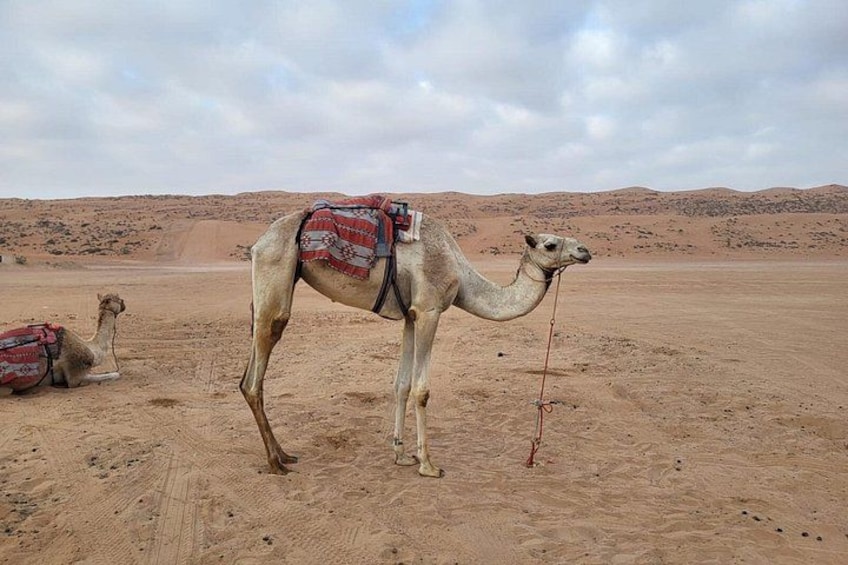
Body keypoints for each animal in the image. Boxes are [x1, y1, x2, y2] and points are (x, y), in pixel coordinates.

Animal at [241, 208, 591, 477]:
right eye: (550, 244)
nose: (585, 251)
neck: (461, 275)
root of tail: (258, 242)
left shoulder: (410, 316)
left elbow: (401, 385)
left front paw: (401, 454)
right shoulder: (428, 310)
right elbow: (422, 390)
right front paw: (428, 464)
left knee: (248, 376)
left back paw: (284, 454)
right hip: (277, 272)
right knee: (256, 373)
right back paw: (276, 463)